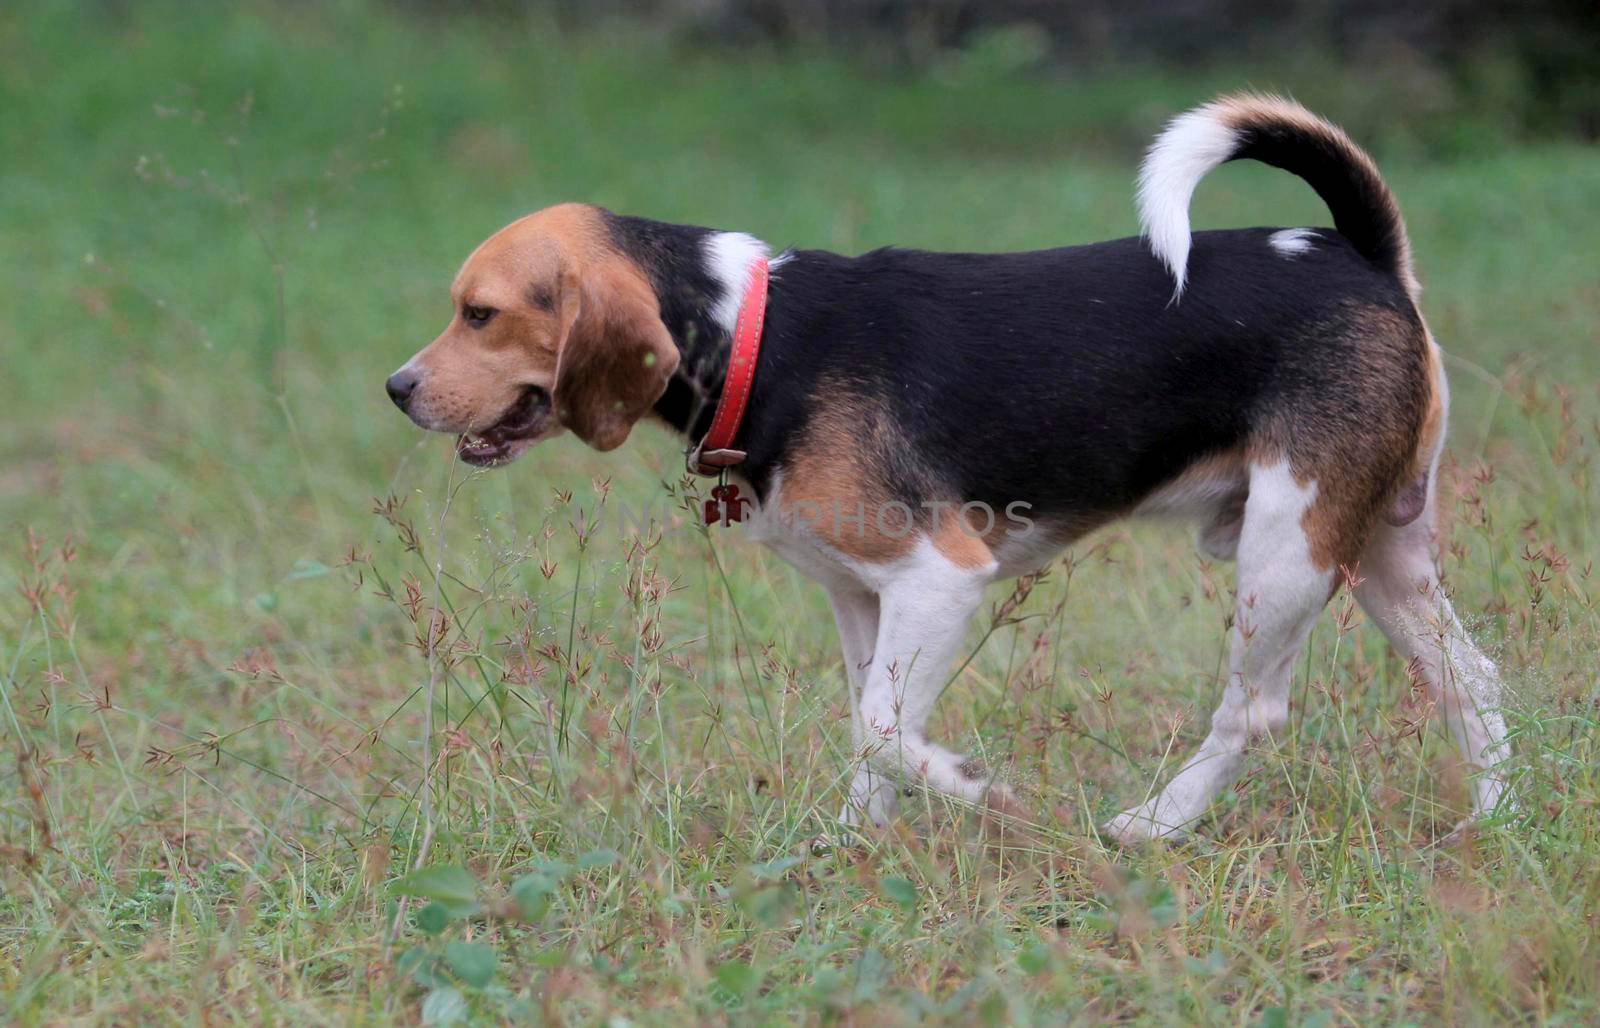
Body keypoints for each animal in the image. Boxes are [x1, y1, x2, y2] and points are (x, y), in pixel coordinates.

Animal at [390, 92, 1510, 839]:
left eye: (479, 313)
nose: (397, 388)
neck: (754, 329)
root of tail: (1360, 254)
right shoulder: (862, 598)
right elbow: (868, 727)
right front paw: (856, 844)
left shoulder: (938, 578)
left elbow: (888, 729)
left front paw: (976, 789)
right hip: (1380, 551)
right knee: (1470, 677)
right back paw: (1490, 825)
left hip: (1287, 553)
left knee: (1256, 711)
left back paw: (1152, 823)